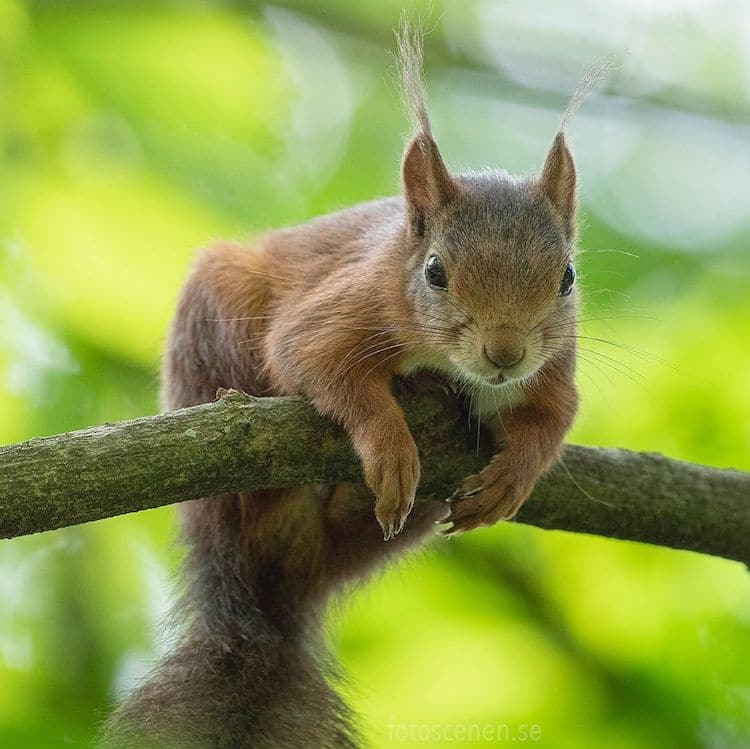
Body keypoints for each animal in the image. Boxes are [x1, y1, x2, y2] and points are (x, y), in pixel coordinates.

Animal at [104, 20, 580, 748]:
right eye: (435, 272)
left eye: (568, 279)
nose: (504, 354)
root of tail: (272, 587)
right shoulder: (342, 308)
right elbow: (318, 364)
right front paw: (388, 444)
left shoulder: (555, 370)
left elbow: (553, 419)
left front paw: (515, 472)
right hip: (214, 327)